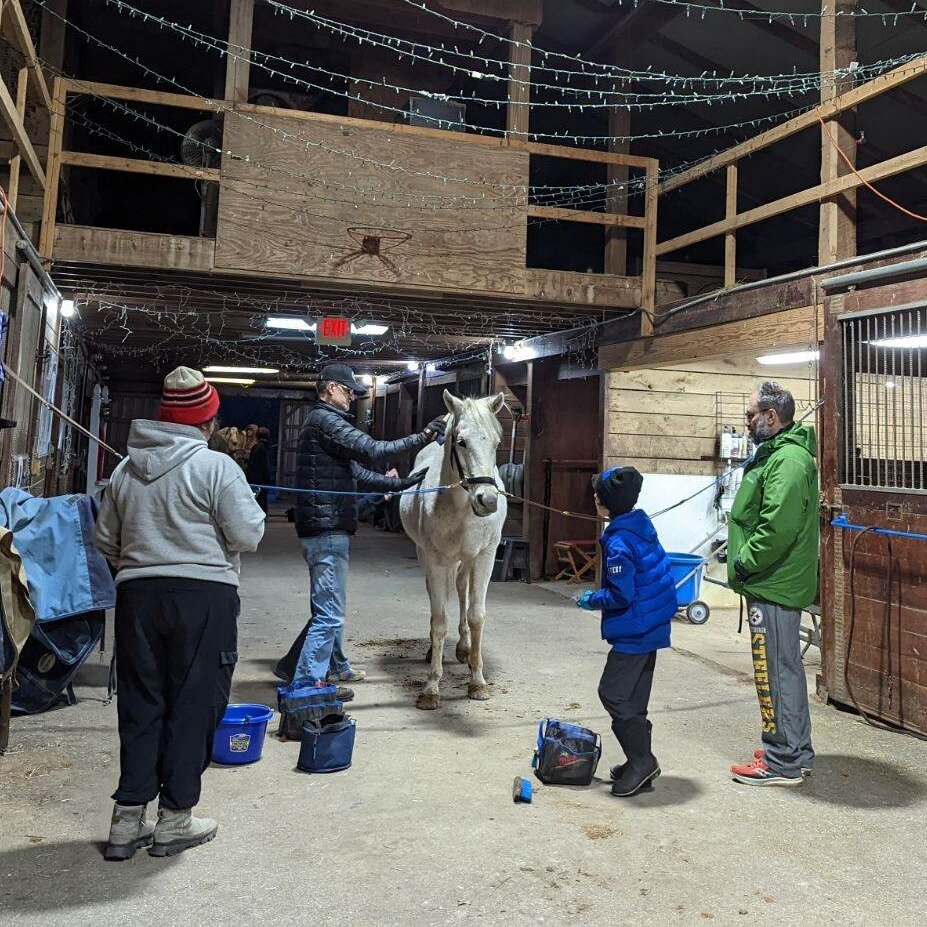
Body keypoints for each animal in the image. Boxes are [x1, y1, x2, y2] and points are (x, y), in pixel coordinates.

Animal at [400, 392, 508, 712]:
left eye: (496, 442)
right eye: (461, 442)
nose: (487, 501)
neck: (460, 508)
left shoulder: (484, 557)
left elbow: (476, 616)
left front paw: (478, 682)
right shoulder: (437, 559)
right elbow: (439, 622)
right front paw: (431, 688)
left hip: (466, 560)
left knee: (461, 589)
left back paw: (463, 648)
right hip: (429, 556)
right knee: (439, 597)